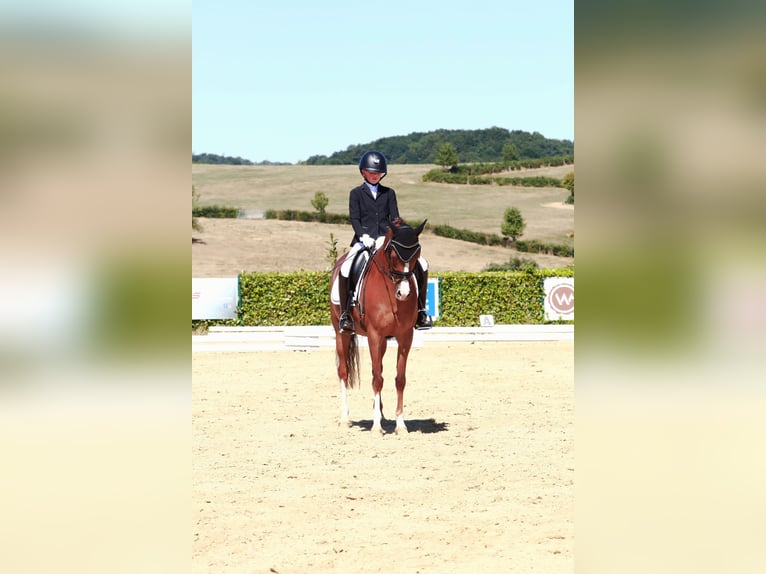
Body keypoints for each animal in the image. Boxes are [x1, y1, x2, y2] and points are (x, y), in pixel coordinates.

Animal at [328, 220, 428, 436]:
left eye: (417, 254)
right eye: (392, 254)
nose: (403, 293)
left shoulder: (405, 337)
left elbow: (399, 379)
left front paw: (400, 425)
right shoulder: (374, 335)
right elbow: (377, 379)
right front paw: (375, 427)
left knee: (378, 369)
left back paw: (381, 413)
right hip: (341, 332)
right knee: (343, 371)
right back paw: (344, 419)